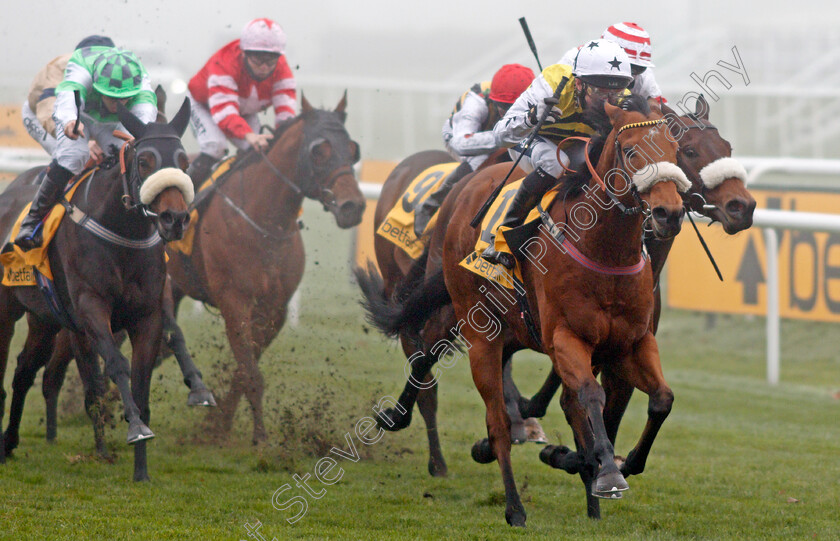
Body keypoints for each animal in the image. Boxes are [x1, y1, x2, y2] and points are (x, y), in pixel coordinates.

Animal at [0, 101, 194, 480]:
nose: (175, 219)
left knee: (24, 371)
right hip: (6, 308)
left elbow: (141, 384)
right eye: (145, 160)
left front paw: (141, 470)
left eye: (184, 161)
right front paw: (135, 429)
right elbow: (115, 366)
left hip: (44, 319)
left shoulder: (147, 315)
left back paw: (10, 442)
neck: (123, 233)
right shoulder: (91, 308)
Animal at [164, 93, 364, 442]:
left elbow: (244, 369)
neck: (264, 220)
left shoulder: (275, 309)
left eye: (352, 149)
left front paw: (219, 423)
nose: (353, 206)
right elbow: (250, 371)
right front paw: (259, 437)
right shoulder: (235, 302)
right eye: (319, 150)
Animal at [362, 97, 688, 524]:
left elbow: (662, 399)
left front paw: (622, 464)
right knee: (489, 414)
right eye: (632, 151)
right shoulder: (567, 337)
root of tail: (465, 189)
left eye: (676, 150)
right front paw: (606, 474)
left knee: (432, 353)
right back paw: (513, 505)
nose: (669, 213)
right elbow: (589, 395)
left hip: (505, 326)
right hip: (476, 326)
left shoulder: (630, 343)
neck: (605, 250)